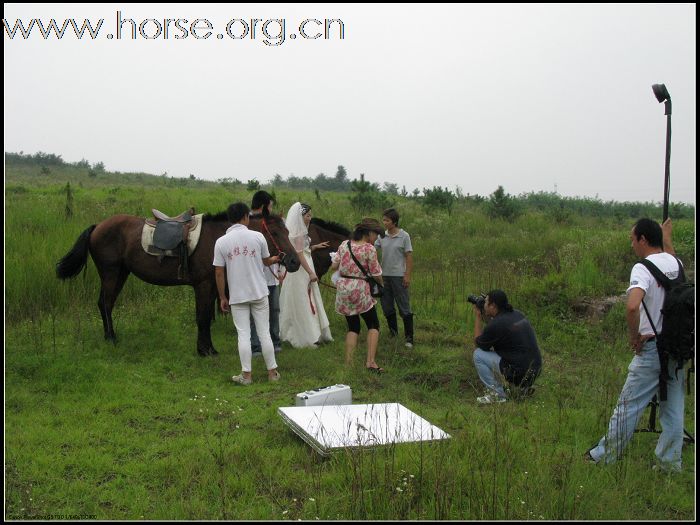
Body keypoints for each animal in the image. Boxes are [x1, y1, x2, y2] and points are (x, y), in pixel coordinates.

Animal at [52, 211, 298, 354]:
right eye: (275, 232)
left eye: (287, 230)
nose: (294, 261)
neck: (219, 237)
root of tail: (98, 226)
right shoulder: (203, 286)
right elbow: (202, 318)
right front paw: (204, 351)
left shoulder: (211, 287)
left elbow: (206, 318)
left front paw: (208, 348)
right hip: (111, 273)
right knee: (105, 304)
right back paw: (111, 338)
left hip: (121, 273)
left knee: (106, 304)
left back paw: (109, 336)